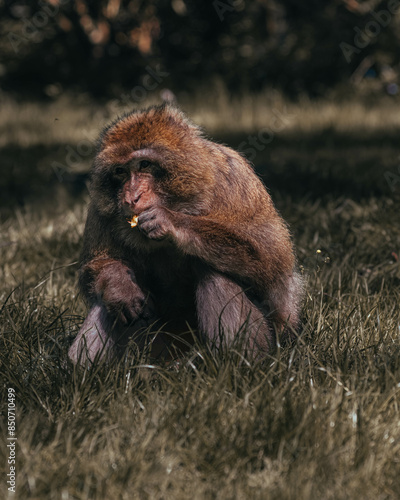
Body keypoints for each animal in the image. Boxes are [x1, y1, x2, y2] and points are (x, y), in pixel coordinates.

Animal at [69, 103, 302, 366]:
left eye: (144, 164)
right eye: (120, 171)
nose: (131, 197)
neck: (183, 201)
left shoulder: (234, 177)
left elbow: (272, 263)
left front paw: (171, 221)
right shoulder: (99, 207)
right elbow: (96, 266)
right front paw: (119, 286)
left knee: (216, 274)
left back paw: (235, 366)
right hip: (154, 348)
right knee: (108, 301)